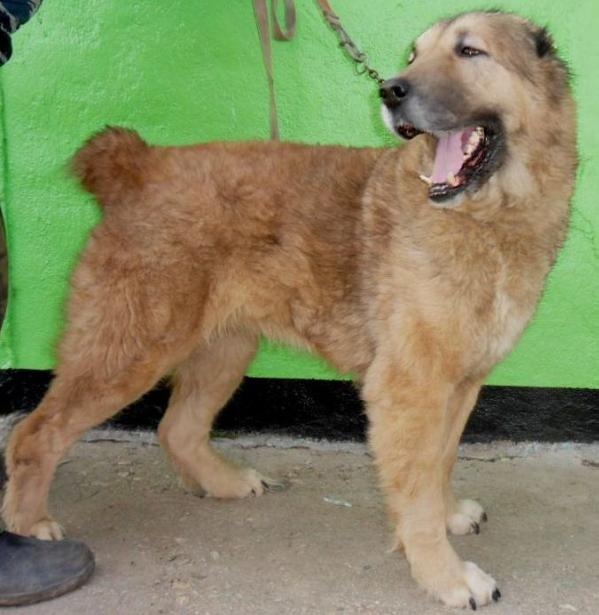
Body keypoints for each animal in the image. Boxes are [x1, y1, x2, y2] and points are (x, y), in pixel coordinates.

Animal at [2, 9, 580, 612]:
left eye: (470, 52)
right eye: (415, 55)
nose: (390, 90)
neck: (490, 219)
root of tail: (142, 166)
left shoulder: (460, 382)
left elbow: (439, 462)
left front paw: (446, 518)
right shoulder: (410, 385)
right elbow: (416, 488)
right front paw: (443, 574)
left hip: (224, 348)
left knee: (177, 429)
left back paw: (225, 482)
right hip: (128, 351)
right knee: (33, 435)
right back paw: (28, 525)